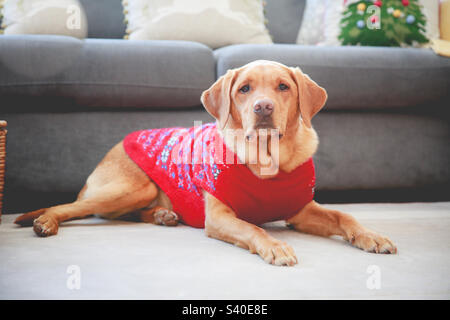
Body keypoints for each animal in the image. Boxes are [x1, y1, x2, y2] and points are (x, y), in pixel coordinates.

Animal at [14, 60, 396, 264]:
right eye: (244, 89)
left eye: (283, 87)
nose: (263, 108)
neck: (268, 161)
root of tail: (117, 144)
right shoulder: (221, 217)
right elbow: (254, 228)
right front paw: (275, 247)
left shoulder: (300, 210)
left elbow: (344, 216)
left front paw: (371, 236)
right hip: (131, 187)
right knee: (71, 207)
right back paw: (45, 222)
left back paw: (163, 216)